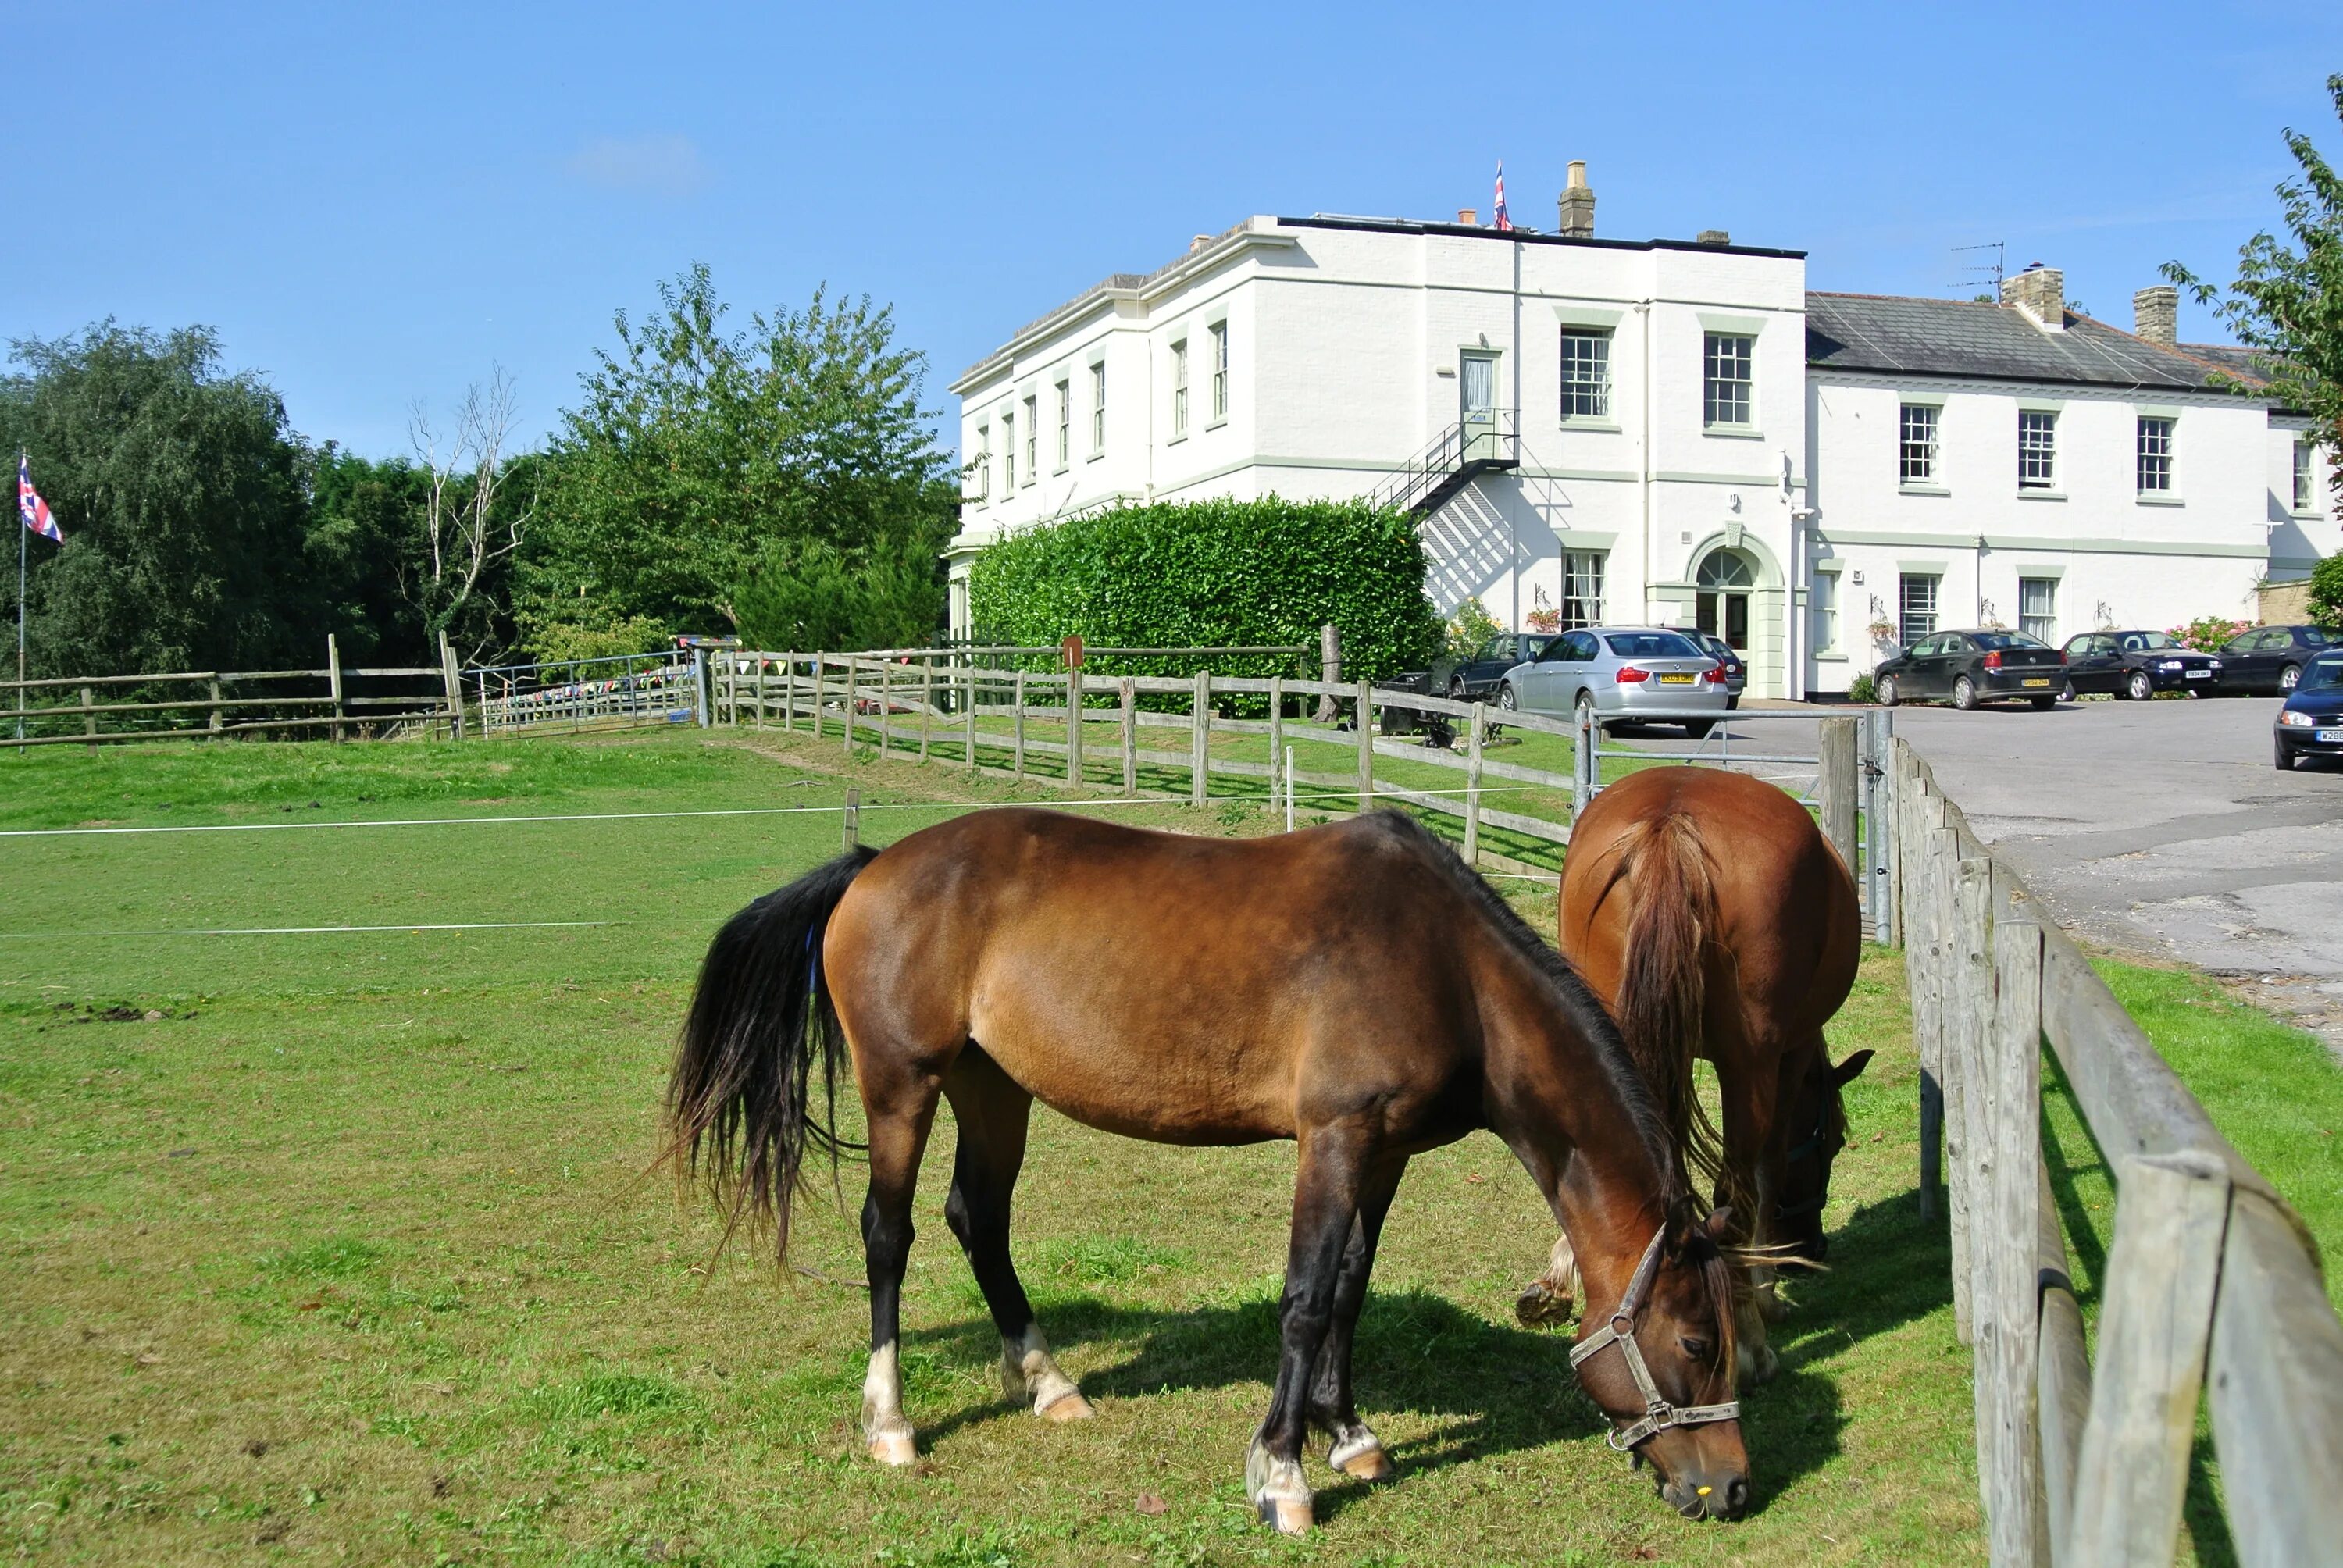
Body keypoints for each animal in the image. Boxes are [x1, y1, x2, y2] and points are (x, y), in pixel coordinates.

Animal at [670, 806, 1753, 1527]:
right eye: (1698, 1341)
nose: (1733, 1485)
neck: (1450, 968)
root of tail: (873, 865)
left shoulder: (1386, 1151)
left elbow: (1351, 1289)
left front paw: (1350, 1434)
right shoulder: (1335, 1138)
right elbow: (1306, 1300)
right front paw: (1282, 1473)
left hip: (994, 1088)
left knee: (979, 1219)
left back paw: (1050, 1381)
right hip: (904, 1082)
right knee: (887, 1234)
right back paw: (890, 1423)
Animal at [1518, 764, 1865, 1377]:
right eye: (1830, 1145)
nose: (1811, 1250)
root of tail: (1669, 826)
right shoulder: (1789, 1054)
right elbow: (1767, 1171)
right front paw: (1765, 1295)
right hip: (1749, 1062)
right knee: (1736, 1182)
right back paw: (1749, 1343)